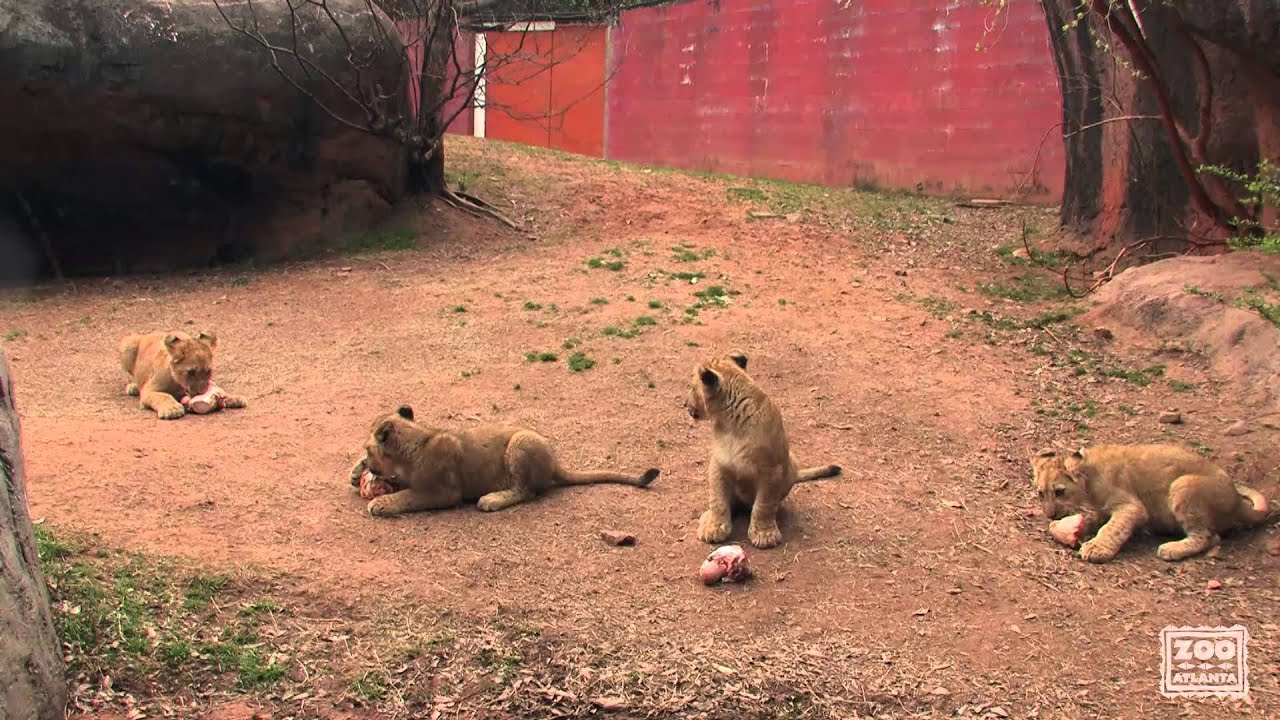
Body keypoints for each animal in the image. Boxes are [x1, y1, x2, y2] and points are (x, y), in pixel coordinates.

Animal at [118, 330, 247, 420]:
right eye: (191, 372)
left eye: (208, 371)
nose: (200, 393)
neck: (179, 384)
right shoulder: (148, 390)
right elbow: (163, 395)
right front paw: (172, 409)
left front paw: (234, 398)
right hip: (127, 344)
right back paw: (133, 387)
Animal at [350, 405, 660, 517]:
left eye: (368, 448)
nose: (369, 463)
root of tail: (556, 463)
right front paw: (357, 473)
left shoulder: (442, 492)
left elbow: (407, 496)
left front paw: (380, 502)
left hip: (520, 443)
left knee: (527, 492)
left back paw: (492, 499)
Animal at [685, 350, 842, 549]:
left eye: (692, 388)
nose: (684, 404)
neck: (730, 423)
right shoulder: (719, 463)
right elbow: (718, 499)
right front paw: (714, 527)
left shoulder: (771, 470)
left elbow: (764, 505)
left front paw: (764, 533)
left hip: (791, 461)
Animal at [1031, 444, 1271, 563]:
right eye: (1041, 493)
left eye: (1060, 492)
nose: (1049, 515)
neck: (1088, 480)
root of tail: (1237, 502)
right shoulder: (1102, 508)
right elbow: (1096, 519)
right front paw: (1070, 529)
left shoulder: (1132, 507)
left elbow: (1113, 528)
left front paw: (1096, 548)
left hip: (1183, 486)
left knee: (1209, 537)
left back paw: (1171, 549)